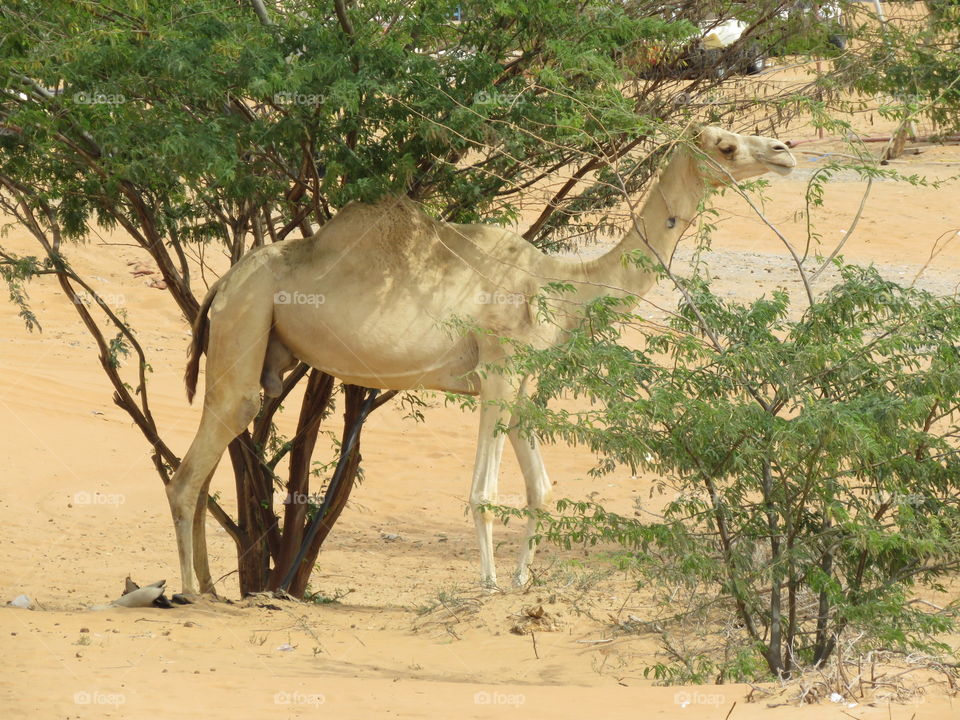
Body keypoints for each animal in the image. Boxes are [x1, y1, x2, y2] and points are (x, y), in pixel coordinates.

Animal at [168, 126, 796, 596]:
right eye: (726, 146)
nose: (785, 151)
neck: (561, 287)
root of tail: (224, 281)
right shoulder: (498, 370)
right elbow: (486, 493)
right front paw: (490, 584)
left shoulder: (523, 385)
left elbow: (542, 488)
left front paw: (521, 581)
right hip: (246, 316)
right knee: (192, 467)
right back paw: (190, 591)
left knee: (210, 462)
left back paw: (212, 586)